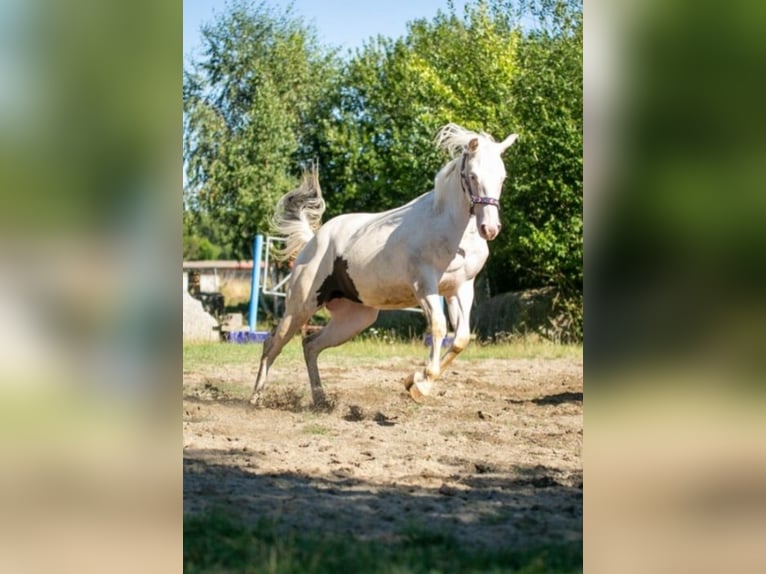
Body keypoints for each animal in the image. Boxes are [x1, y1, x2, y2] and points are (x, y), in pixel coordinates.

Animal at [249, 124, 520, 408]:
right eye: (473, 175)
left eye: (502, 177)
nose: (489, 229)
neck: (450, 228)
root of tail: (313, 240)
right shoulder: (425, 286)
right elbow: (438, 326)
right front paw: (419, 383)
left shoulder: (461, 288)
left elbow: (461, 339)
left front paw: (417, 381)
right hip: (301, 306)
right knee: (272, 344)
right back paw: (256, 398)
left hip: (355, 318)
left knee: (310, 345)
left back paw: (321, 400)